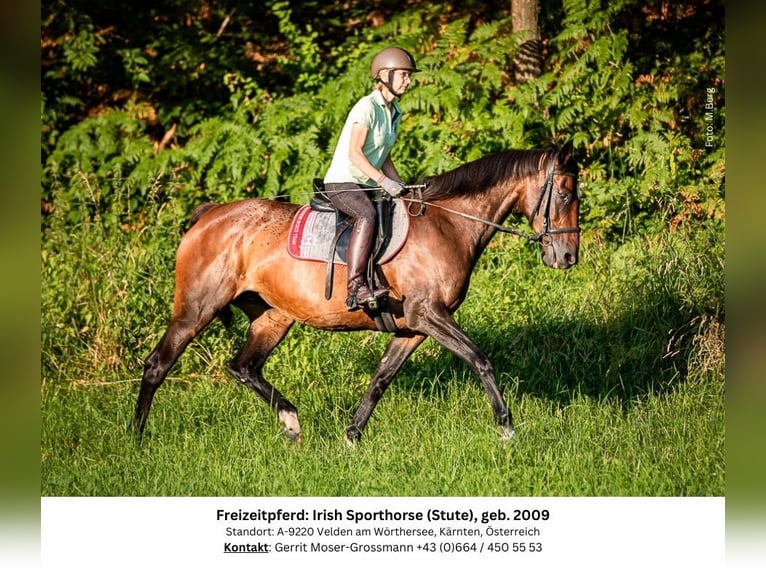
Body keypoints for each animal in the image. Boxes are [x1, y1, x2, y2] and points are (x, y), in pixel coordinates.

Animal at [134, 143, 584, 446]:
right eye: (565, 194)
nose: (567, 257)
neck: (447, 224)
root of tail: (208, 215)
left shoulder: (412, 328)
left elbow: (381, 378)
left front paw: (351, 437)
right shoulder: (429, 314)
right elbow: (480, 359)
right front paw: (507, 428)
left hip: (272, 316)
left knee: (243, 367)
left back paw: (291, 422)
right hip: (197, 307)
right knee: (158, 364)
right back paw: (136, 440)